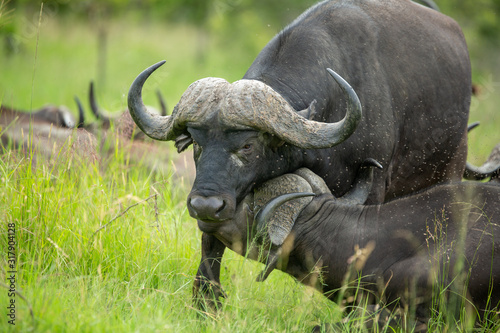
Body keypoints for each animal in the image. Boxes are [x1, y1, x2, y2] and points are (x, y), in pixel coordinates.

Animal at [127, 0, 470, 306]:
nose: (205, 204)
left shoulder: (372, 191)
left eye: (248, 145)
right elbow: (210, 249)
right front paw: (206, 303)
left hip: (451, 165)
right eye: (197, 144)